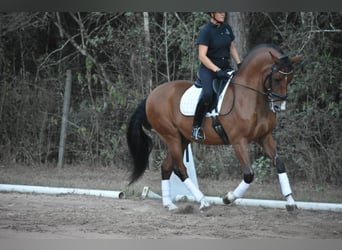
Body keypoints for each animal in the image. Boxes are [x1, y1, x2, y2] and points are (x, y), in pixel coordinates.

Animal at [126, 44, 302, 211]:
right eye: (277, 78)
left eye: (290, 79)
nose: (279, 107)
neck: (251, 98)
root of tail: (151, 96)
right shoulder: (239, 141)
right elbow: (249, 175)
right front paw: (228, 198)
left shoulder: (265, 137)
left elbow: (280, 165)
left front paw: (291, 202)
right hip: (171, 137)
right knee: (180, 169)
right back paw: (203, 202)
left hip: (182, 139)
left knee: (167, 167)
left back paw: (169, 204)